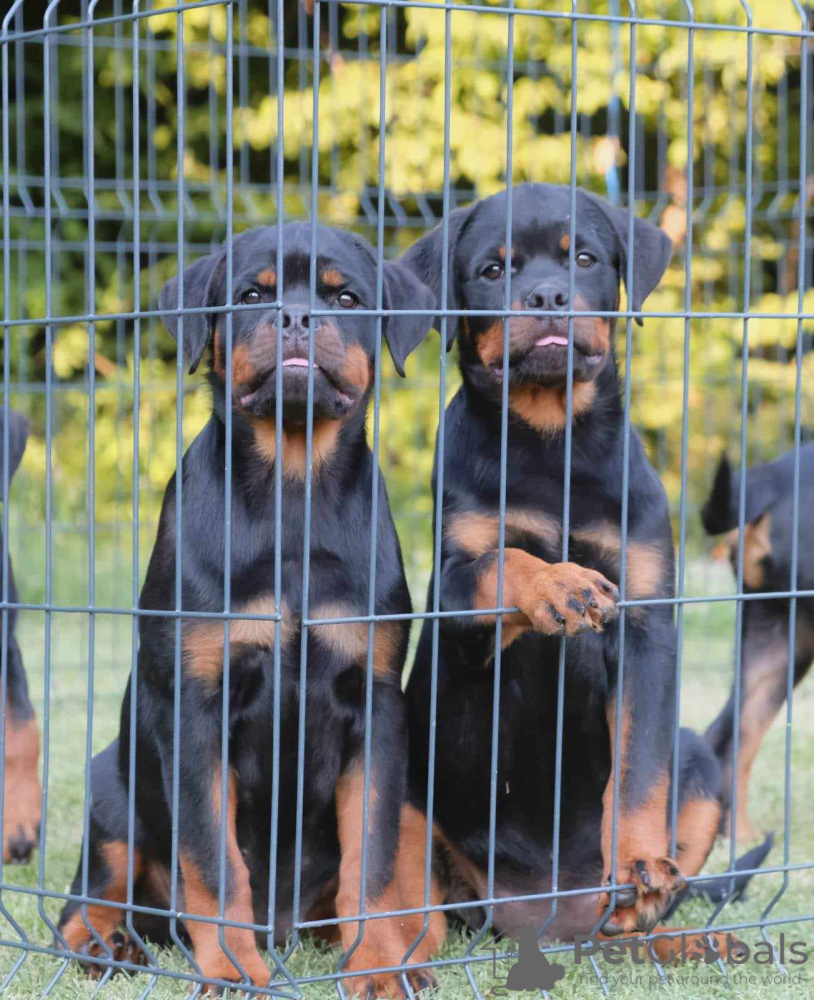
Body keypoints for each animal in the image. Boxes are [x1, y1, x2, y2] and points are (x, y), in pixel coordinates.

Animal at [58, 223, 440, 997]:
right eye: (251, 296)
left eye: (346, 298)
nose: (295, 317)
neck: (291, 494)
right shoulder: (197, 707)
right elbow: (214, 862)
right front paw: (233, 969)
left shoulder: (378, 708)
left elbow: (372, 859)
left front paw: (377, 966)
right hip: (112, 784)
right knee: (88, 895)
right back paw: (105, 945)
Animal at [400, 183, 737, 953]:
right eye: (493, 271)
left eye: (582, 258)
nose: (548, 296)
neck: (552, 438)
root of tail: (544, 920)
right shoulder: (456, 594)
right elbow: (505, 558)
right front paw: (561, 583)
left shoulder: (647, 619)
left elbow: (640, 769)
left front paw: (640, 858)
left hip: (703, 768)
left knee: (624, 928)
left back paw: (682, 935)